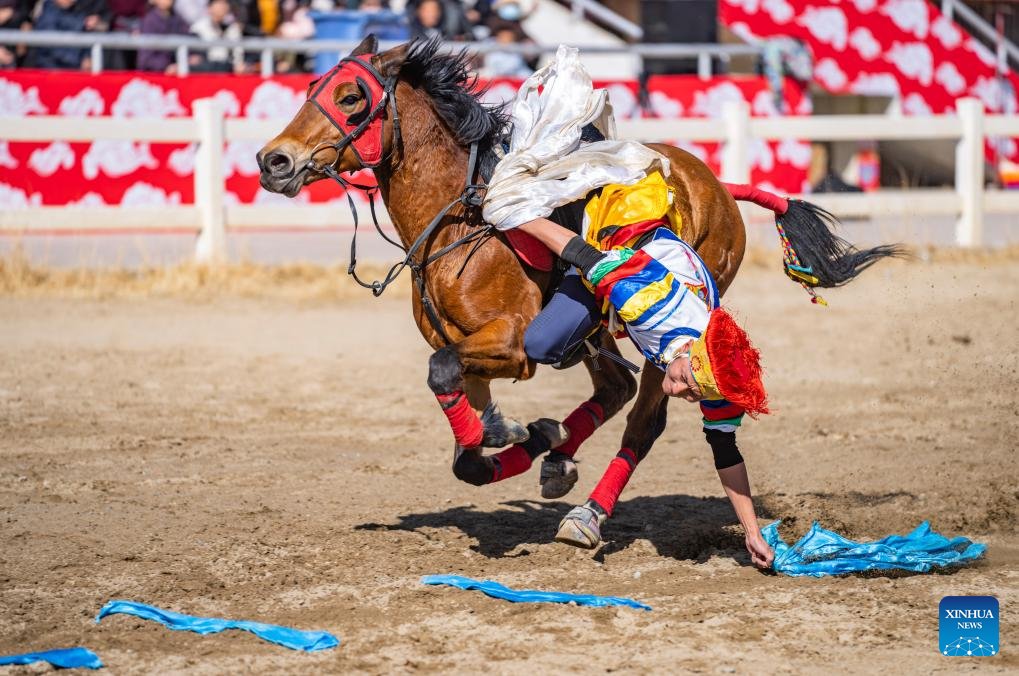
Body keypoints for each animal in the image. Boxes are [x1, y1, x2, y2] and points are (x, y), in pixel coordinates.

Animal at [257, 36, 899, 544]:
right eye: (312, 85)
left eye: (351, 97)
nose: (273, 160)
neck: (459, 224)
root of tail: (716, 181)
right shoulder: (470, 345)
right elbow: (466, 431)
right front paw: (516, 436)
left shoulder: (513, 342)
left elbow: (443, 375)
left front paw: (512, 433)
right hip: (593, 329)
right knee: (615, 388)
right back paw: (557, 451)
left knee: (642, 417)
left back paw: (586, 512)